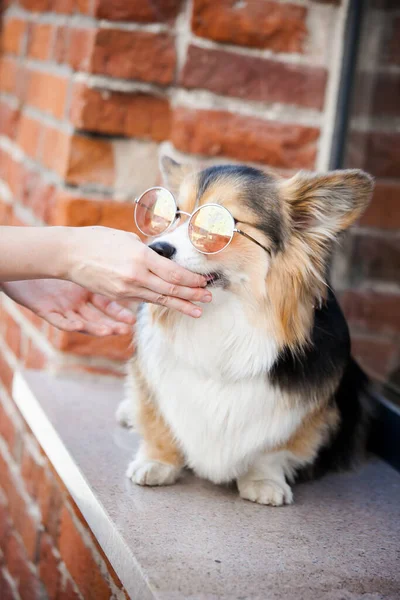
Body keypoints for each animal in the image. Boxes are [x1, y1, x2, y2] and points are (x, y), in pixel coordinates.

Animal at [117, 159, 374, 506]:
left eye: (218, 224)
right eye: (173, 215)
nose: (156, 248)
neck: (224, 318)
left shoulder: (300, 418)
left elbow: (272, 450)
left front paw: (264, 481)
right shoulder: (154, 381)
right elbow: (158, 423)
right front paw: (156, 462)